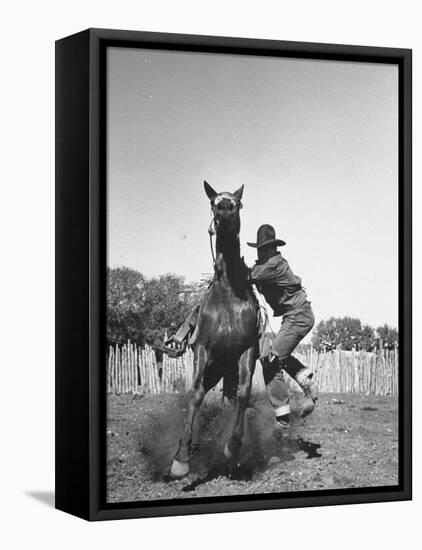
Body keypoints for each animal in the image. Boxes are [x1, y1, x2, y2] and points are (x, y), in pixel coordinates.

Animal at [170, 180, 258, 478]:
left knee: (232, 396)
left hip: (226, 369)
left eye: (238, 203)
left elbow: (243, 392)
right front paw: (181, 459)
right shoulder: (203, 349)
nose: (225, 210)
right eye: (213, 202)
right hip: (214, 368)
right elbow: (196, 393)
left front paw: (233, 445)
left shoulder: (246, 350)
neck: (228, 294)